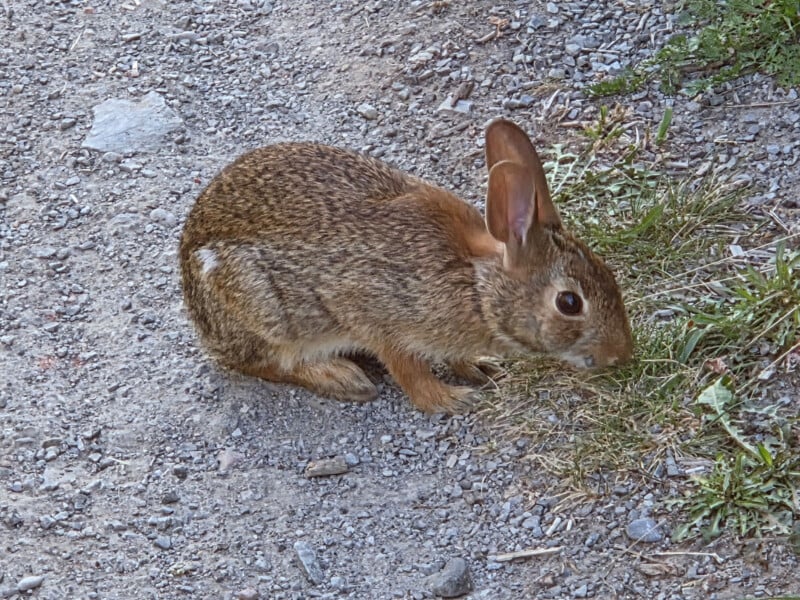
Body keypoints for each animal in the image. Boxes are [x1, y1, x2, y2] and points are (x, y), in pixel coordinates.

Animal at [179, 118, 633, 414]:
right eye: (569, 303)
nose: (621, 354)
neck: (476, 285)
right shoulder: (378, 316)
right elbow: (409, 371)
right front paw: (451, 400)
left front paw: (479, 368)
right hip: (262, 307)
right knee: (262, 362)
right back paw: (342, 378)